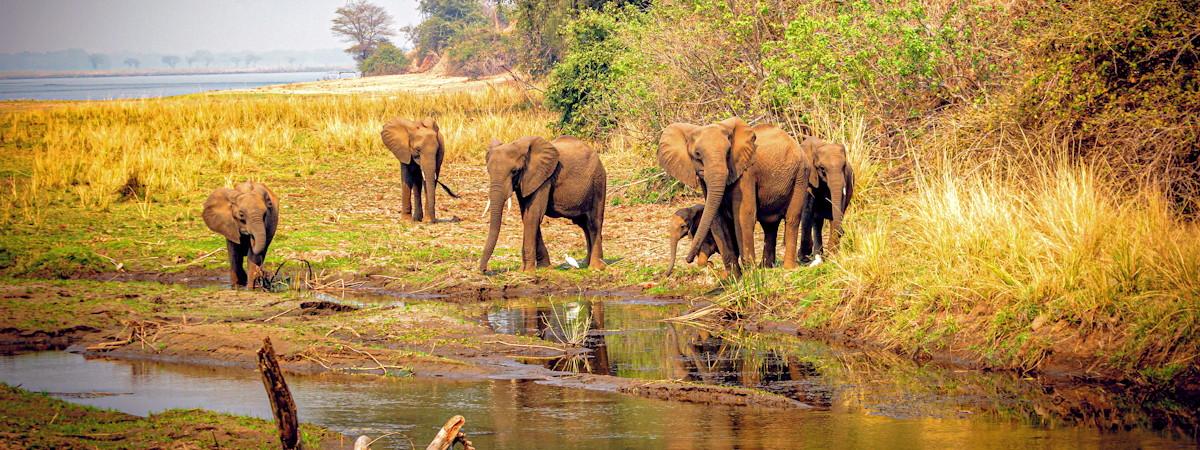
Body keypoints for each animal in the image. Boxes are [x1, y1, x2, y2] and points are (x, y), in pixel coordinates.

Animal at [480, 135, 609, 273]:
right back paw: (585, 263)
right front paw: (542, 267)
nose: (484, 270)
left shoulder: (544, 178)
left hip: (598, 181)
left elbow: (533, 216)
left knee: (593, 222)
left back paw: (596, 267)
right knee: (584, 224)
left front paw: (527, 271)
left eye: (514, 171)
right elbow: (526, 216)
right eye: (488, 171)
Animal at [657, 117, 816, 274]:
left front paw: (751, 274)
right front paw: (733, 277)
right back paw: (765, 267)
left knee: (791, 218)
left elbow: (744, 215)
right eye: (697, 154)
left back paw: (787, 268)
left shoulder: (747, 173)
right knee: (769, 224)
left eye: (728, 152)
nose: (688, 259)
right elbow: (717, 218)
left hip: (801, 174)